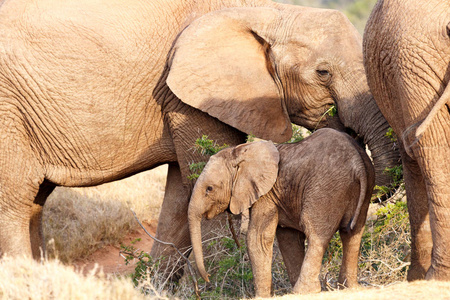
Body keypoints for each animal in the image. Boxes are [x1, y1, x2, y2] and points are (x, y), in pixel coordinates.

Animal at [0, 0, 398, 274]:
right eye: (323, 72)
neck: (262, 13)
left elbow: (182, 196)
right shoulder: (190, 95)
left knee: (34, 202)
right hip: (8, 111)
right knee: (15, 204)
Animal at [188, 127, 374, 296]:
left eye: (209, 189)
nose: (207, 278)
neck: (241, 152)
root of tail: (357, 162)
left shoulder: (266, 194)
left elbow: (257, 238)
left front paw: (262, 296)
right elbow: (288, 239)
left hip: (326, 188)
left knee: (316, 233)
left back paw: (304, 291)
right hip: (362, 187)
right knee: (352, 233)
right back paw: (348, 287)